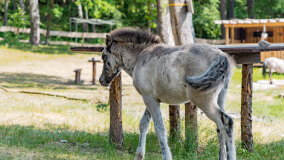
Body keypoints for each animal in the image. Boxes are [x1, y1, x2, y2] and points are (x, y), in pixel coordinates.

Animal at [98, 28, 236, 159]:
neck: (140, 57)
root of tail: (222, 57)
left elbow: (160, 129)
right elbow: (143, 124)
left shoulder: (149, 99)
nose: (101, 80)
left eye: (104, 56)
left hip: (202, 99)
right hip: (220, 98)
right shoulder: (151, 99)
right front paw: (139, 156)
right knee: (220, 128)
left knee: (226, 122)